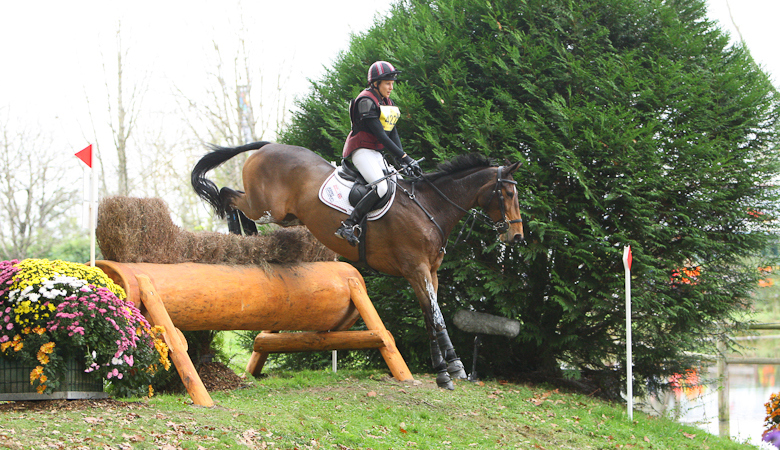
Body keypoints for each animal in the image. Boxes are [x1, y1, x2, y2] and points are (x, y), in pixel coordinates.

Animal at [190, 142, 524, 390]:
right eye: (508, 193)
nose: (517, 236)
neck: (429, 208)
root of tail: (268, 146)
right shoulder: (415, 269)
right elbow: (437, 317)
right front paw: (451, 367)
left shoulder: (430, 273)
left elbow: (432, 316)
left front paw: (446, 370)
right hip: (267, 208)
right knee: (228, 196)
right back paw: (241, 235)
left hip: (286, 216)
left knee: (234, 199)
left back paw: (248, 238)